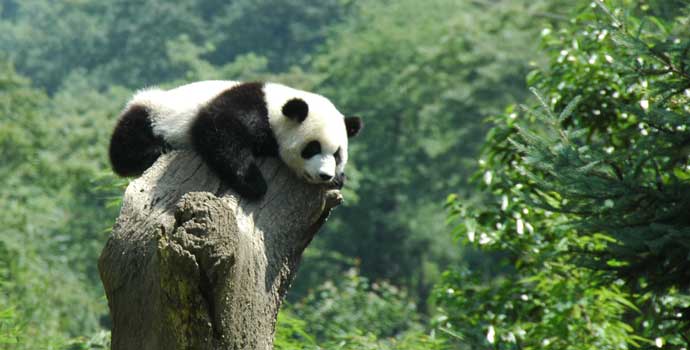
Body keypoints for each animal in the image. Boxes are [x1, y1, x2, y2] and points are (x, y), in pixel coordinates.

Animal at [107, 80, 360, 200]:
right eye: (312, 148)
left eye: (337, 155)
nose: (324, 175)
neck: (276, 107)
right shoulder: (247, 107)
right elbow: (219, 134)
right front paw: (254, 184)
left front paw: (339, 179)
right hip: (152, 114)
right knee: (128, 147)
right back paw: (154, 151)